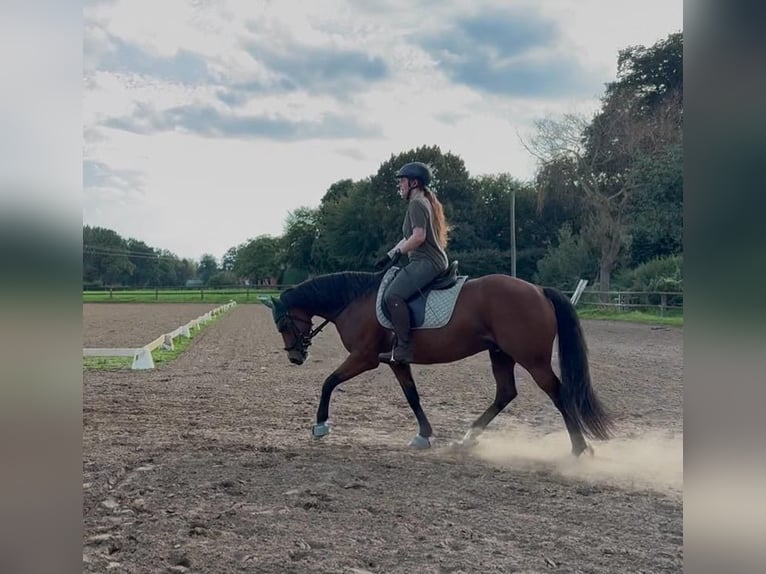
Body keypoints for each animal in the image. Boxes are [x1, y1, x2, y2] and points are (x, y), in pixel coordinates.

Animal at [262, 267, 613, 455]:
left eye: (283, 325)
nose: (295, 357)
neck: (354, 300)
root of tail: (538, 290)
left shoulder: (364, 357)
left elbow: (329, 382)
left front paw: (320, 425)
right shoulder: (395, 361)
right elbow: (412, 396)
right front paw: (424, 434)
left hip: (532, 359)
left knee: (558, 393)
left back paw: (580, 449)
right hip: (501, 354)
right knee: (505, 393)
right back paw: (467, 438)